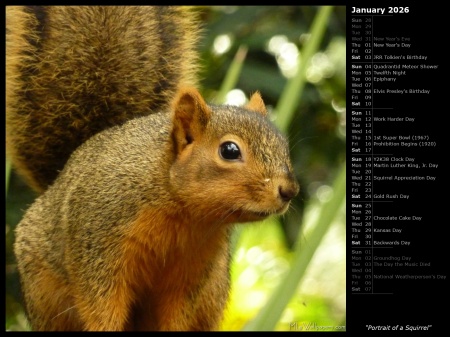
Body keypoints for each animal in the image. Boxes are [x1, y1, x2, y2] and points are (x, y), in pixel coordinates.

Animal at [6, 5, 298, 330]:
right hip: (43, 290)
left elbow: (177, 313)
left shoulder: (192, 272)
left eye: (283, 145)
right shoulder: (98, 243)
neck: (182, 211)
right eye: (230, 150)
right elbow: (100, 305)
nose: (289, 190)